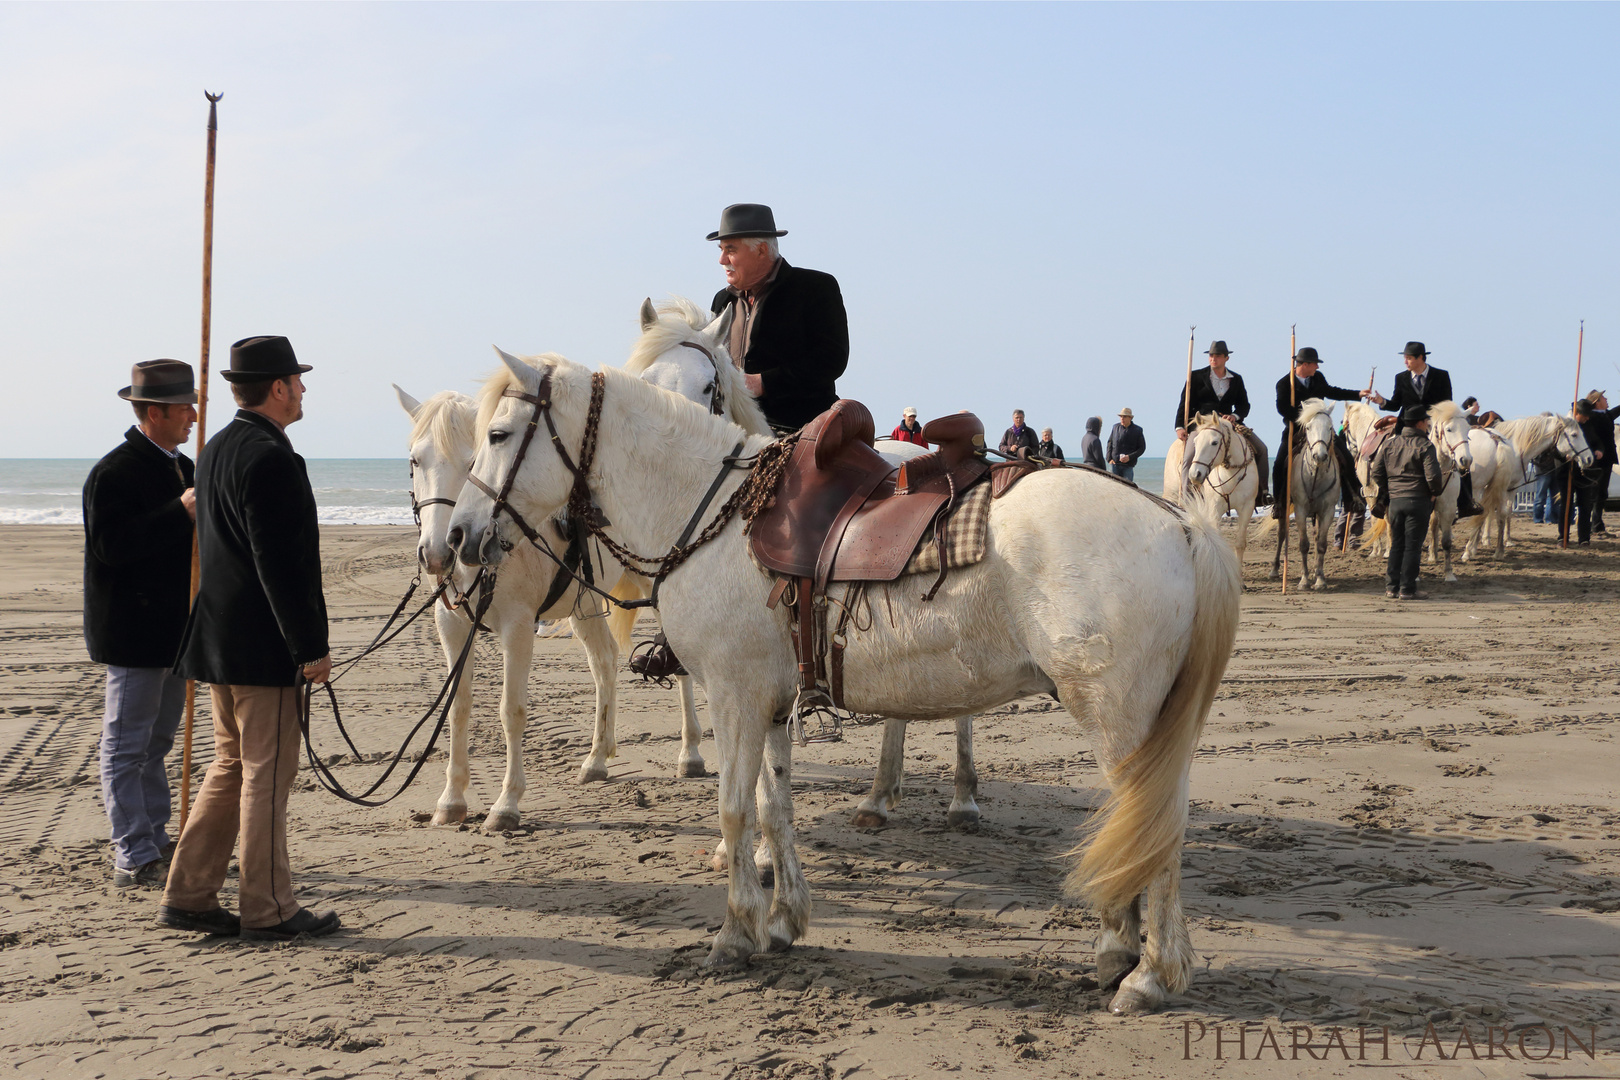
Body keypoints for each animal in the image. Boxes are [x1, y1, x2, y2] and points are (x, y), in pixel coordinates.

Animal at [443, 352, 1237, 1016]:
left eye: (500, 433)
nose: (456, 538)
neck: (714, 513)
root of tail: (1179, 526)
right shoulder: (769, 705)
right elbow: (775, 810)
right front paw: (784, 922)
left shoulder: (733, 696)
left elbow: (733, 812)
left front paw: (735, 933)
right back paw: (1118, 952)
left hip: (1118, 718)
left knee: (1156, 829)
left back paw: (1150, 974)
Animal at [1166, 417, 1263, 563]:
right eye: (1195, 442)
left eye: (1214, 442)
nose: (1195, 475)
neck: (1230, 474)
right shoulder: (1215, 508)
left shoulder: (1247, 508)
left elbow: (1240, 543)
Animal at [1263, 401, 1341, 592]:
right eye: (1308, 427)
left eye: (1330, 427)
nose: (1320, 456)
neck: (1316, 476)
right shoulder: (1300, 510)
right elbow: (1304, 544)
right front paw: (1304, 581)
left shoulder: (1327, 511)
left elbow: (1321, 544)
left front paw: (1319, 579)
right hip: (1284, 508)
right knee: (1281, 535)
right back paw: (1275, 570)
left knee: (1316, 537)